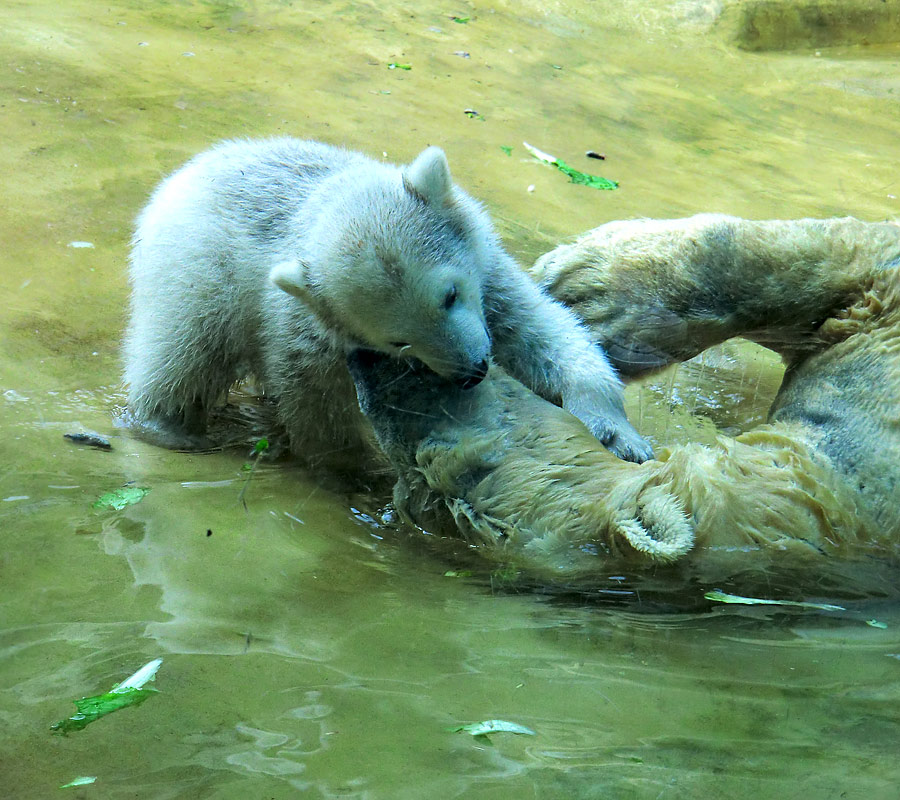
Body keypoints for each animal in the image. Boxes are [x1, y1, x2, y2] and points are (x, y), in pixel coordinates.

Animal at [123, 141, 652, 472]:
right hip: (195, 275)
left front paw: (619, 434)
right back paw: (167, 428)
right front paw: (369, 468)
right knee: (181, 356)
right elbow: (315, 406)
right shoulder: (302, 324)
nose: (474, 371)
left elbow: (540, 332)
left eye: (450, 294)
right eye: (399, 340)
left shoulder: (488, 273)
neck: (329, 198)